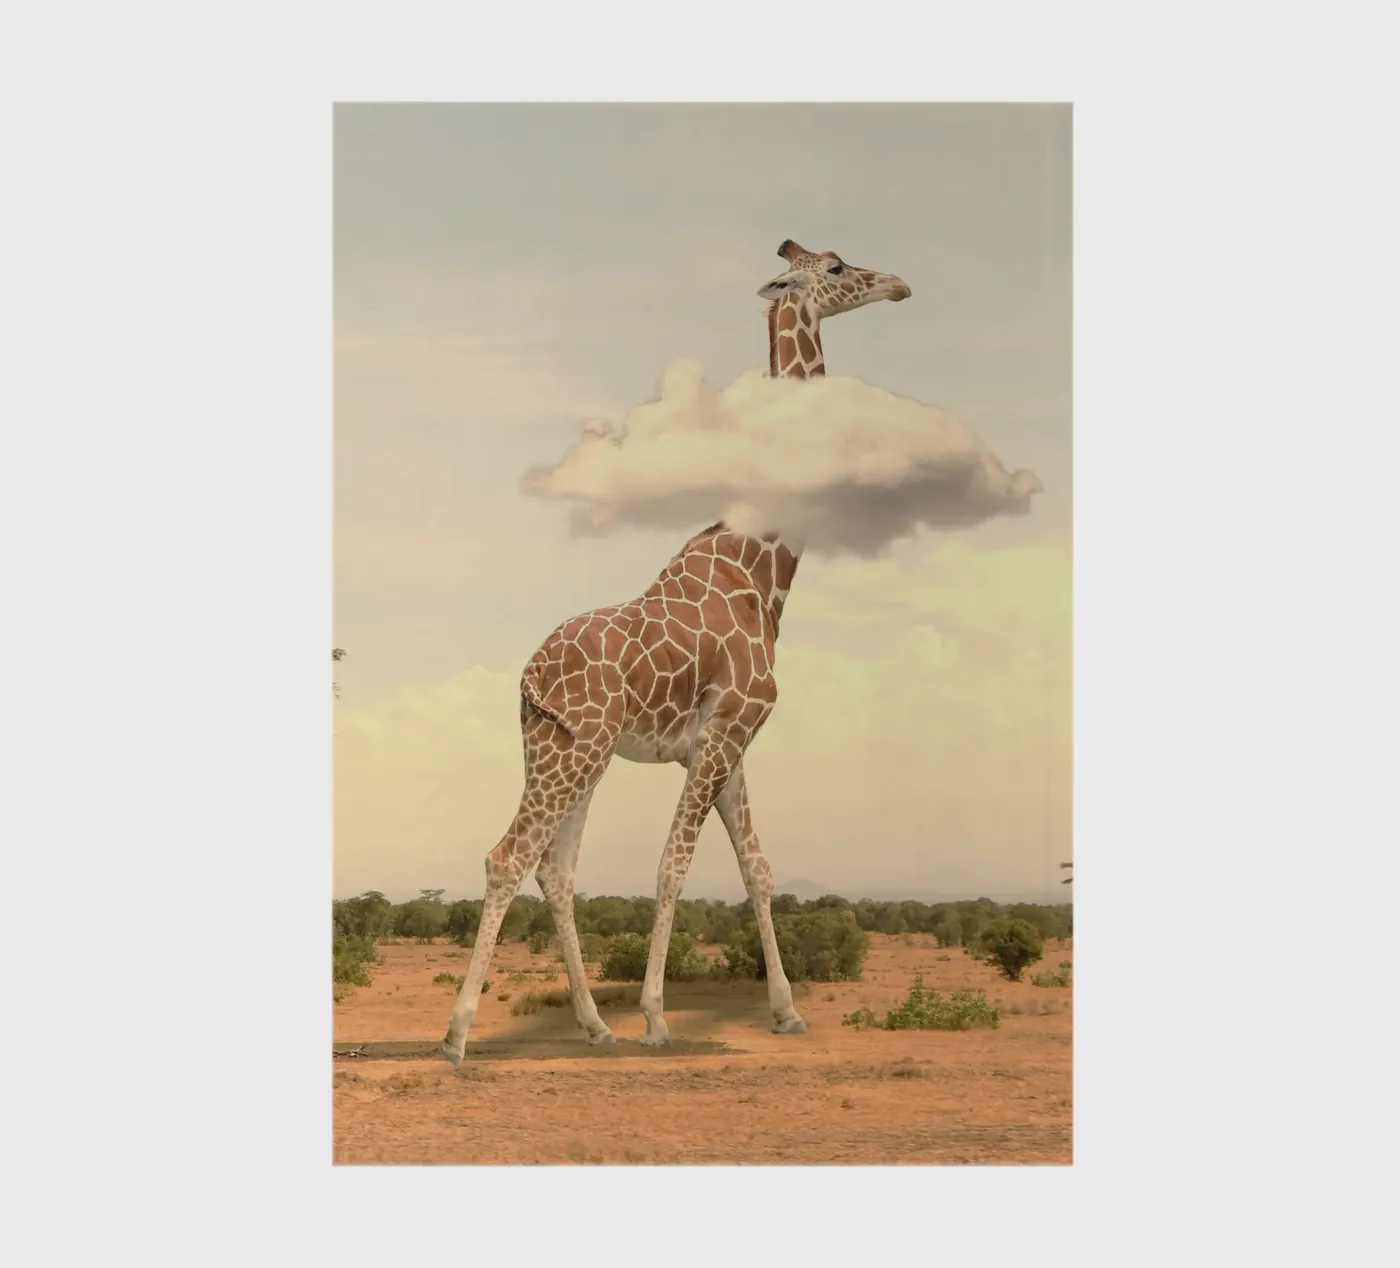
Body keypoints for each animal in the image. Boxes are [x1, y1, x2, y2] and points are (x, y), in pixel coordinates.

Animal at [440, 239, 911, 1063]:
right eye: (837, 267)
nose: (896, 284)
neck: (762, 569)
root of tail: (528, 677)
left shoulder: (727, 743)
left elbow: (757, 867)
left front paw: (787, 1012)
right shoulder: (724, 733)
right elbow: (673, 867)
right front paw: (658, 1017)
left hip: (563, 750)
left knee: (555, 868)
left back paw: (594, 1026)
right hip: (576, 752)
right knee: (509, 856)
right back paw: (460, 1035)